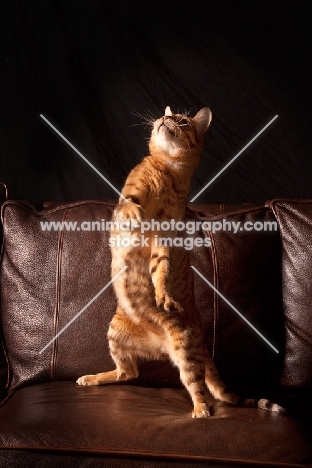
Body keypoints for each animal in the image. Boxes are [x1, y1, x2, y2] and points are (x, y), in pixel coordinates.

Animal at [77, 106, 238, 416]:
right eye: (169, 115)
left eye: (182, 120)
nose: (164, 119)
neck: (169, 170)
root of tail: (159, 346)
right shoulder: (132, 192)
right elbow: (129, 203)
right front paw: (134, 215)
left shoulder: (164, 236)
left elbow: (161, 269)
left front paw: (163, 294)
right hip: (115, 333)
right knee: (128, 372)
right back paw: (92, 378)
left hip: (185, 348)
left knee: (193, 383)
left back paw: (200, 409)